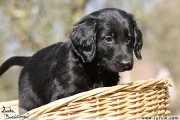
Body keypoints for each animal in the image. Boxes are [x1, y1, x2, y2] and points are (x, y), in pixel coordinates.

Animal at [0, 7, 143, 112]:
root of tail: (29, 59)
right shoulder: (64, 93)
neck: (94, 69)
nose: (127, 64)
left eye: (129, 38)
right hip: (28, 100)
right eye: (108, 39)